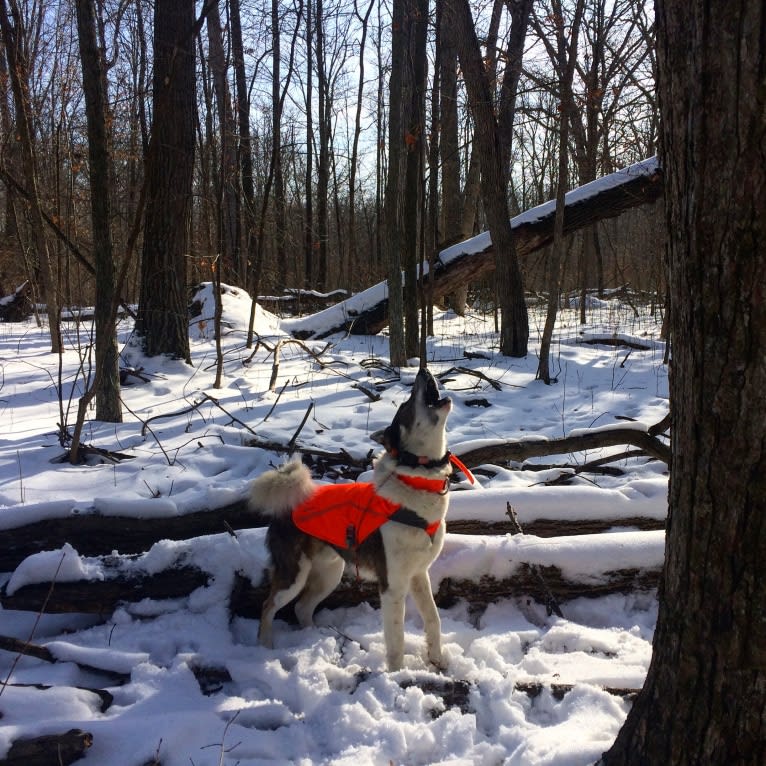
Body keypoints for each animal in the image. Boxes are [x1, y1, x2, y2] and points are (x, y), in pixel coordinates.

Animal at [252, 368, 472, 668]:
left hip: (330, 572)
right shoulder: (392, 585)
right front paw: (397, 674)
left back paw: (315, 639)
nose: (423, 370)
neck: (416, 477)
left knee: (302, 607)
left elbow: (433, 620)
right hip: (294, 574)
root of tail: (288, 502)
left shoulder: (419, 574)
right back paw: (265, 646)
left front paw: (437, 661)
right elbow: (396, 639)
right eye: (406, 405)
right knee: (269, 605)